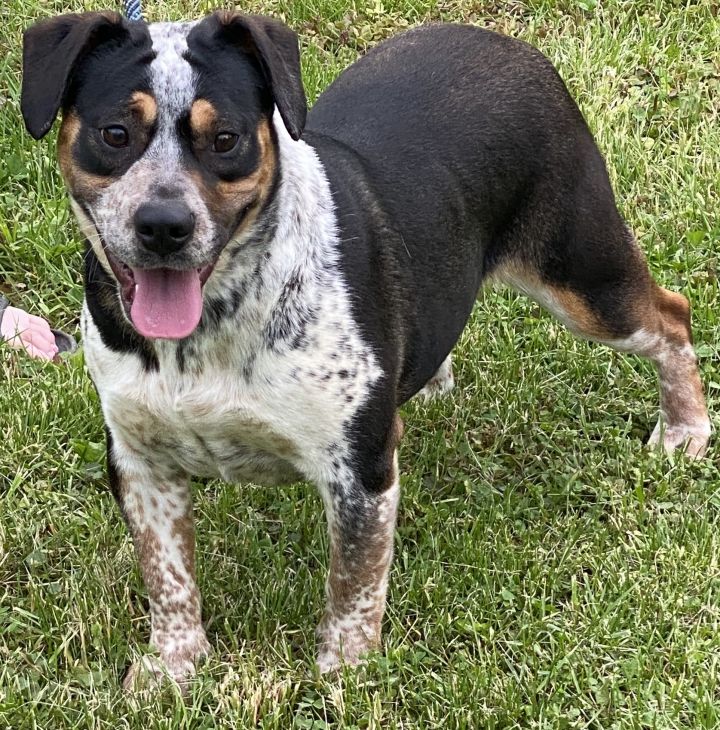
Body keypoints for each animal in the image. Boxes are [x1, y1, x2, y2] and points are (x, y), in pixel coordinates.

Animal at [19, 8, 712, 684]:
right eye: (114, 134)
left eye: (226, 139)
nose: (164, 225)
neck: (213, 322)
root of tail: (514, 48)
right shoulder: (142, 463)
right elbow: (168, 578)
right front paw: (174, 668)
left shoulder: (359, 469)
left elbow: (354, 582)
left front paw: (343, 677)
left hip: (582, 276)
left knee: (673, 318)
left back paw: (685, 432)